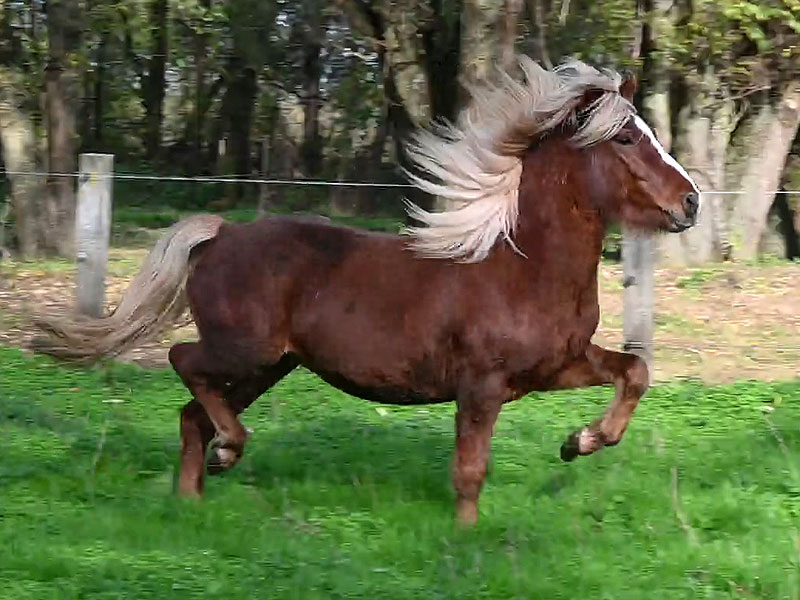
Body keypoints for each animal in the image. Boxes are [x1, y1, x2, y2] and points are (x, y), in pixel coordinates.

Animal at [34, 57, 700, 525]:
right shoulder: (481, 386)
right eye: (625, 139)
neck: (522, 267)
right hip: (243, 351)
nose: (690, 202)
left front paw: (578, 442)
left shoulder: (556, 366)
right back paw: (229, 453)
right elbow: (470, 471)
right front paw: (465, 539)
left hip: (267, 366)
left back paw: (194, 500)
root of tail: (219, 235)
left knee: (192, 415)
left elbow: (634, 372)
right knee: (182, 363)